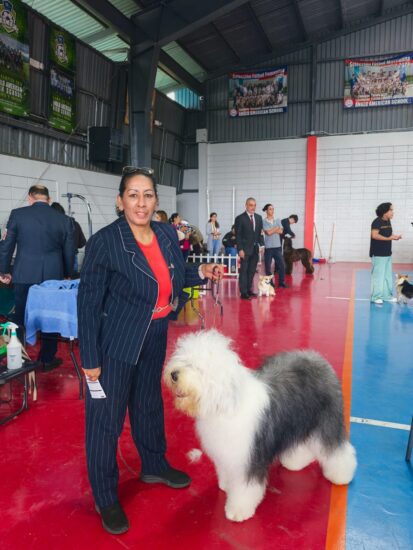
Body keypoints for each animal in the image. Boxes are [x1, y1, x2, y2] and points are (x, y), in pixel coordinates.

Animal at [164, 330, 357, 522]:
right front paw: (227, 485)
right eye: (182, 357)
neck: (225, 405)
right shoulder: (227, 454)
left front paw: (238, 510)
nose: (174, 374)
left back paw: (341, 474)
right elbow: (226, 471)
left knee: (338, 450)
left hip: (327, 422)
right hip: (295, 421)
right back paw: (295, 462)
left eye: (198, 367)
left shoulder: (250, 458)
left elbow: (245, 488)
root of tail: (316, 357)